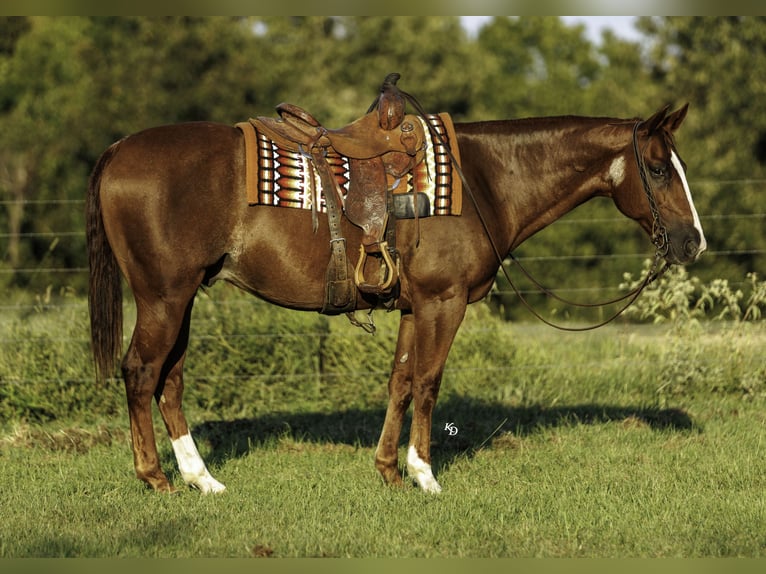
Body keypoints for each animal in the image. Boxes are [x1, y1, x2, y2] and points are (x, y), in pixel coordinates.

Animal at [87, 103, 706, 495]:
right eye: (657, 168)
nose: (693, 241)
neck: (483, 181)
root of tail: (117, 149)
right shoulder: (442, 302)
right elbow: (428, 383)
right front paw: (424, 474)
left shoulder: (413, 306)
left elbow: (401, 381)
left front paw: (388, 469)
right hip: (164, 297)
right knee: (141, 372)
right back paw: (155, 477)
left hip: (183, 297)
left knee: (169, 380)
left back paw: (202, 478)